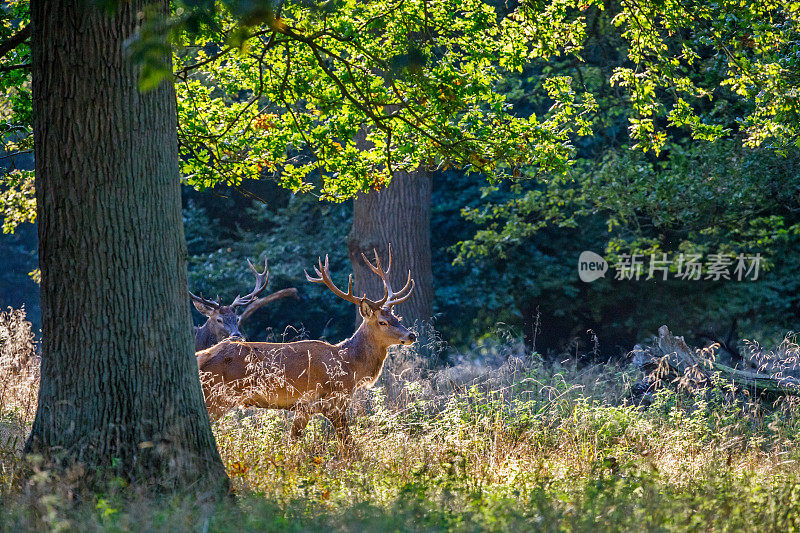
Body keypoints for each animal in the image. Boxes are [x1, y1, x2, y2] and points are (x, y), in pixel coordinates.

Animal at [196, 245, 416, 444]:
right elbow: (348, 445)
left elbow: (294, 441)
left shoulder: (304, 407)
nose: (411, 335)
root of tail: (201, 356)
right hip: (216, 396)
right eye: (383, 322)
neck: (349, 366)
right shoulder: (328, 401)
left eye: (397, 318)